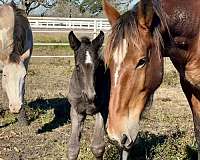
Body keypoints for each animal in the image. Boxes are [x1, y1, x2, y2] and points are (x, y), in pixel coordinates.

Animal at [68, 31, 110, 160]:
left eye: (97, 66)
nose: (91, 96)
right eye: (77, 66)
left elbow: (97, 147)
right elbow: (73, 149)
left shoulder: (102, 109)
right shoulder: (76, 111)